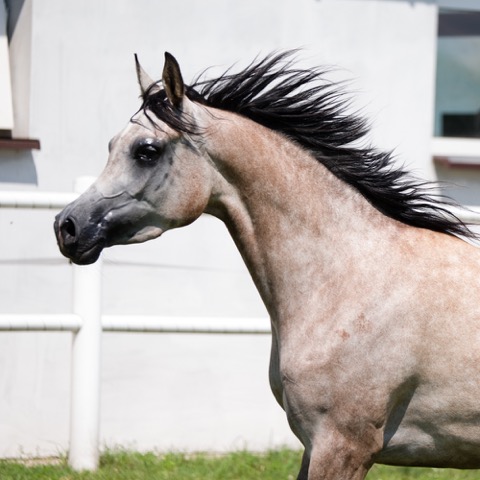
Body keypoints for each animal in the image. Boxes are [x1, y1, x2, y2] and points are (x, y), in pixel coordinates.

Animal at [54, 51, 480, 479]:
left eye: (146, 151)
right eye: (112, 145)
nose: (66, 226)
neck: (349, 278)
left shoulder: (343, 446)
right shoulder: (314, 445)